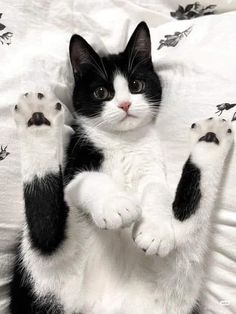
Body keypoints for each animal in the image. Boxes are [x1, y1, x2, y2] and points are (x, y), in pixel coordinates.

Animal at [10, 22, 233, 314]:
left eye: (136, 85)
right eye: (101, 93)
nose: (125, 104)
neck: (123, 140)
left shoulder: (151, 167)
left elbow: (156, 191)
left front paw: (155, 230)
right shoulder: (75, 165)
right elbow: (90, 180)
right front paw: (117, 206)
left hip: (178, 282)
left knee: (188, 227)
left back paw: (211, 138)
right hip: (46, 271)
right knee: (45, 233)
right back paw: (38, 117)